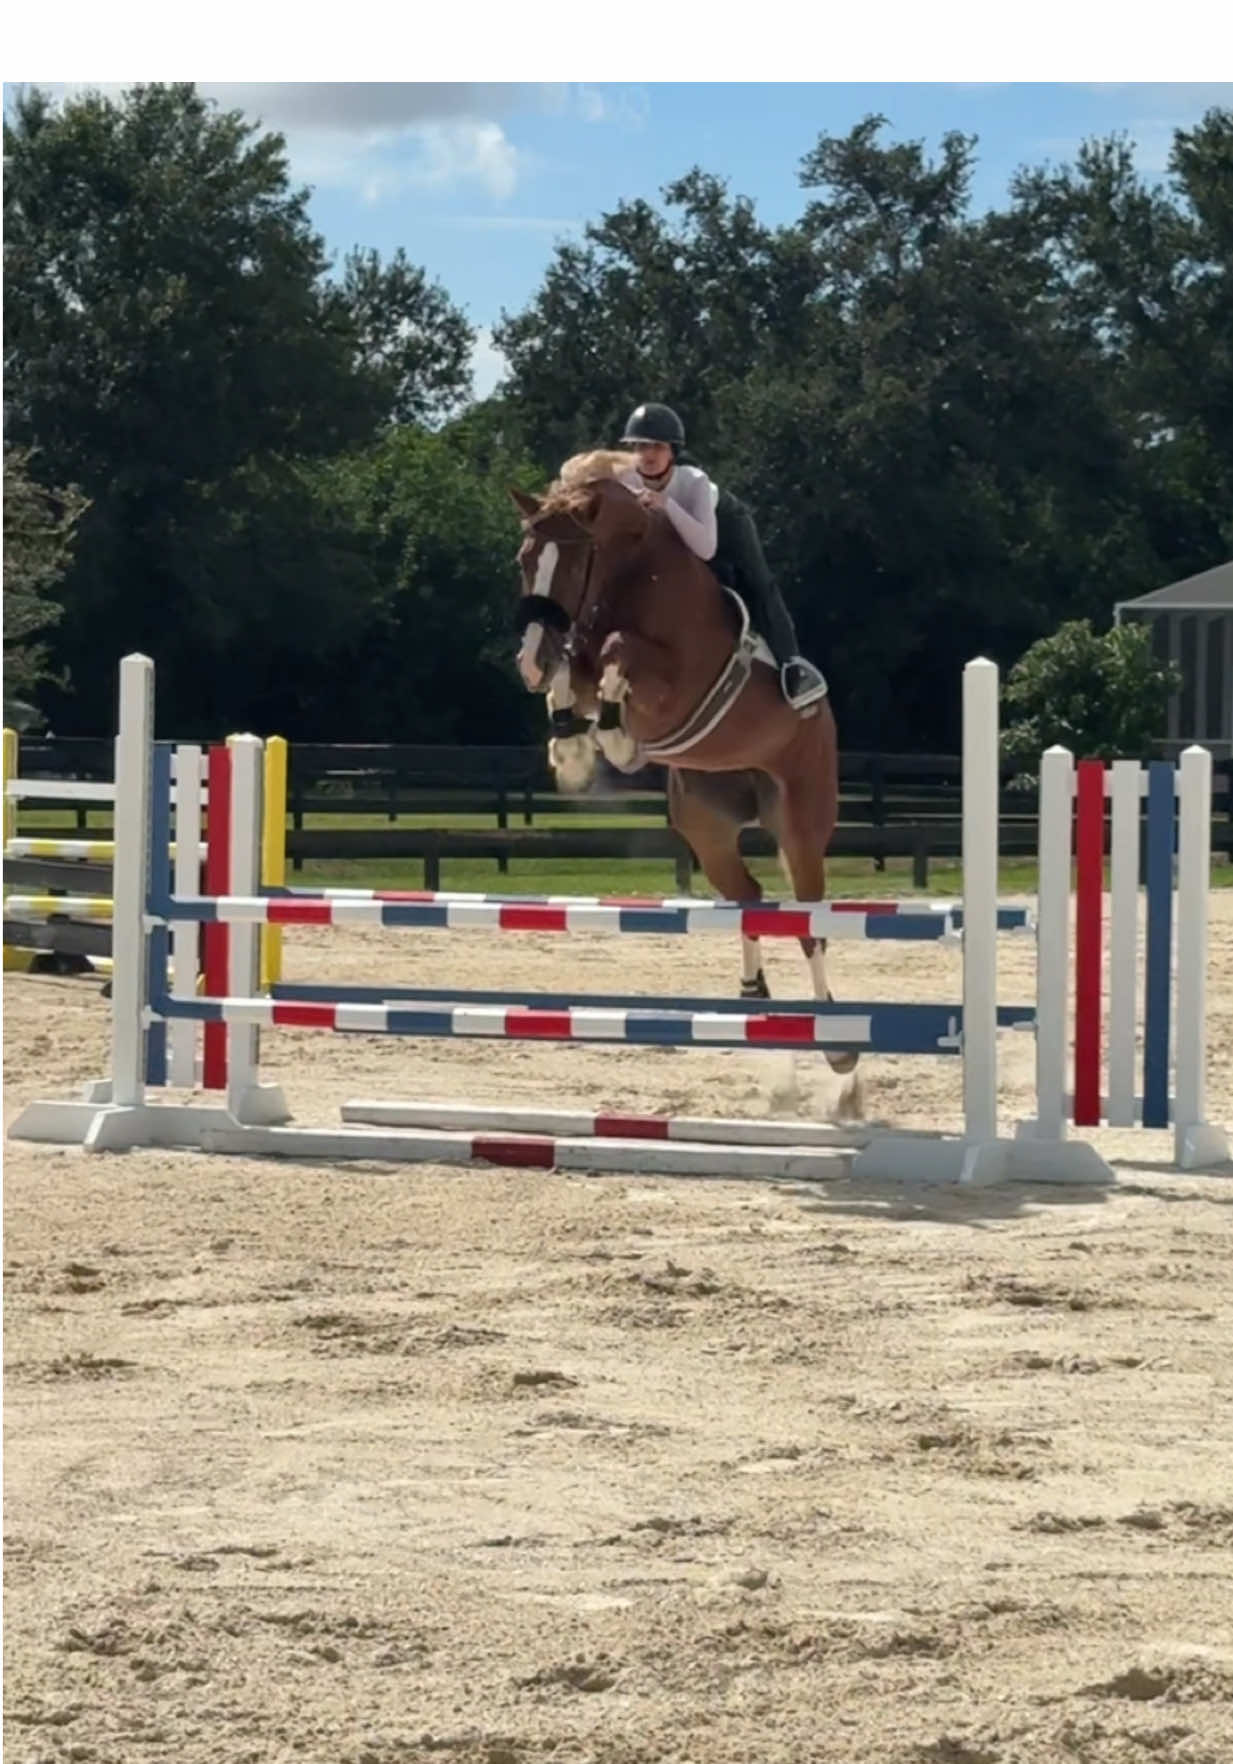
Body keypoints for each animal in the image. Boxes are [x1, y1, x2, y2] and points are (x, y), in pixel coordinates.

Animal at [510, 451, 859, 1089]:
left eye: (570, 563)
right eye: (525, 560)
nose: (528, 660)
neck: (632, 573)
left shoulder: (674, 681)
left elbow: (618, 653)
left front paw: (614, 740)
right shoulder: (581, 654)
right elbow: (574, 675)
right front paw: (573, 751)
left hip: (801, 822)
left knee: (808, 922)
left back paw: (837, 1042)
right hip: (707, 828)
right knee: (750, 896)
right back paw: (752, 990)